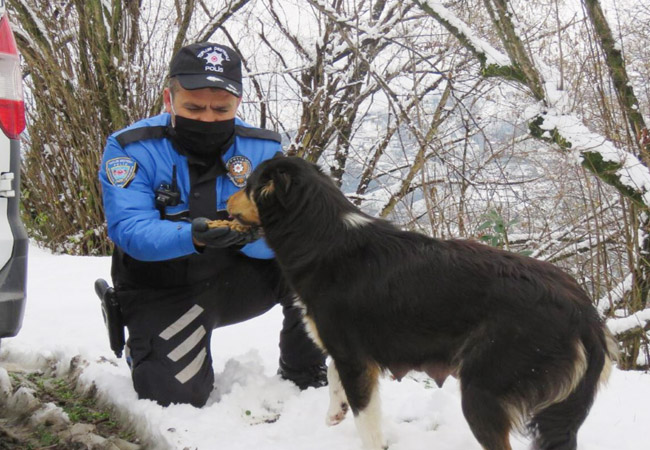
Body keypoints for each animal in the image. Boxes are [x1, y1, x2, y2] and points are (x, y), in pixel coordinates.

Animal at [225, 156, 616, 450]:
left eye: (246, 186)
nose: (224, 202)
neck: (320, 233)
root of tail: (584, 313)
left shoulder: (355, 359)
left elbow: (367, 422)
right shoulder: (349, 353)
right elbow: (335, 375)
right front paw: (334, 411)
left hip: (482, 390)